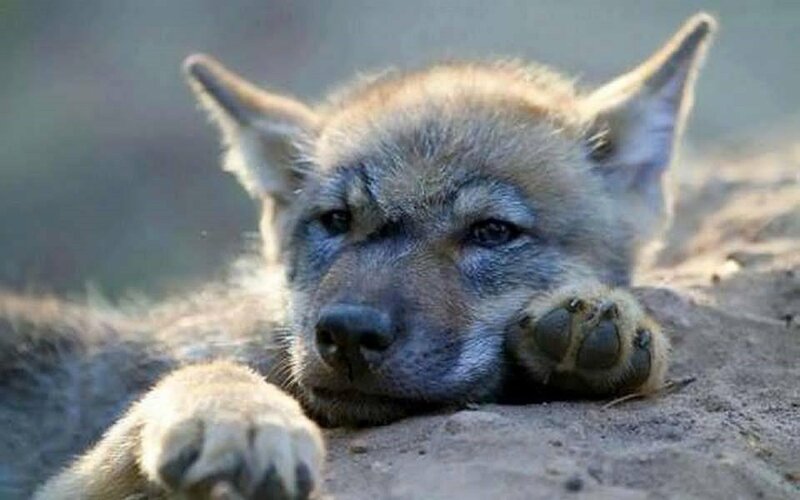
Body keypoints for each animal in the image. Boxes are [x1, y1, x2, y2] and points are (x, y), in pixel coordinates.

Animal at [0, 13, 715, 500]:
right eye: (336, 222)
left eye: (491, 232)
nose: (346, 334)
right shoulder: (63, 485)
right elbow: (191, 378)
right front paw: (235, 417)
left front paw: (599, 317)